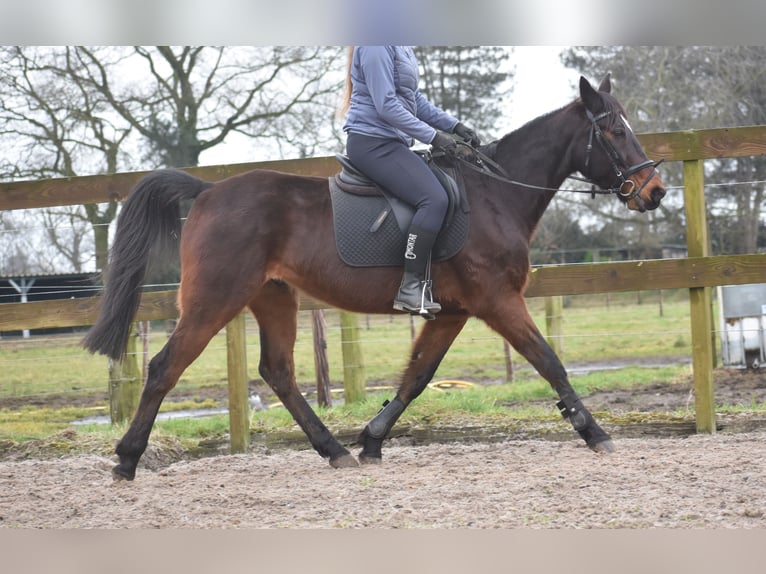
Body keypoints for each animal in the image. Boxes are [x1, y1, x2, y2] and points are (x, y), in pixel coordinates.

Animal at [85, 76, 664, 482]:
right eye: (614, 131)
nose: (654, 191)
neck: (494, 195)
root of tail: (207, 191)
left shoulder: (452, 312)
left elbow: (417, 377)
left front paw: (371, 440)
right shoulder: (498, 301)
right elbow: (550, 361)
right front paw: (594, 432)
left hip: (273, 298)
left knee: (278, 372)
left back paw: (335, 450)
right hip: (215, 299)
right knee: (165, 367)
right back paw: (127, 461)